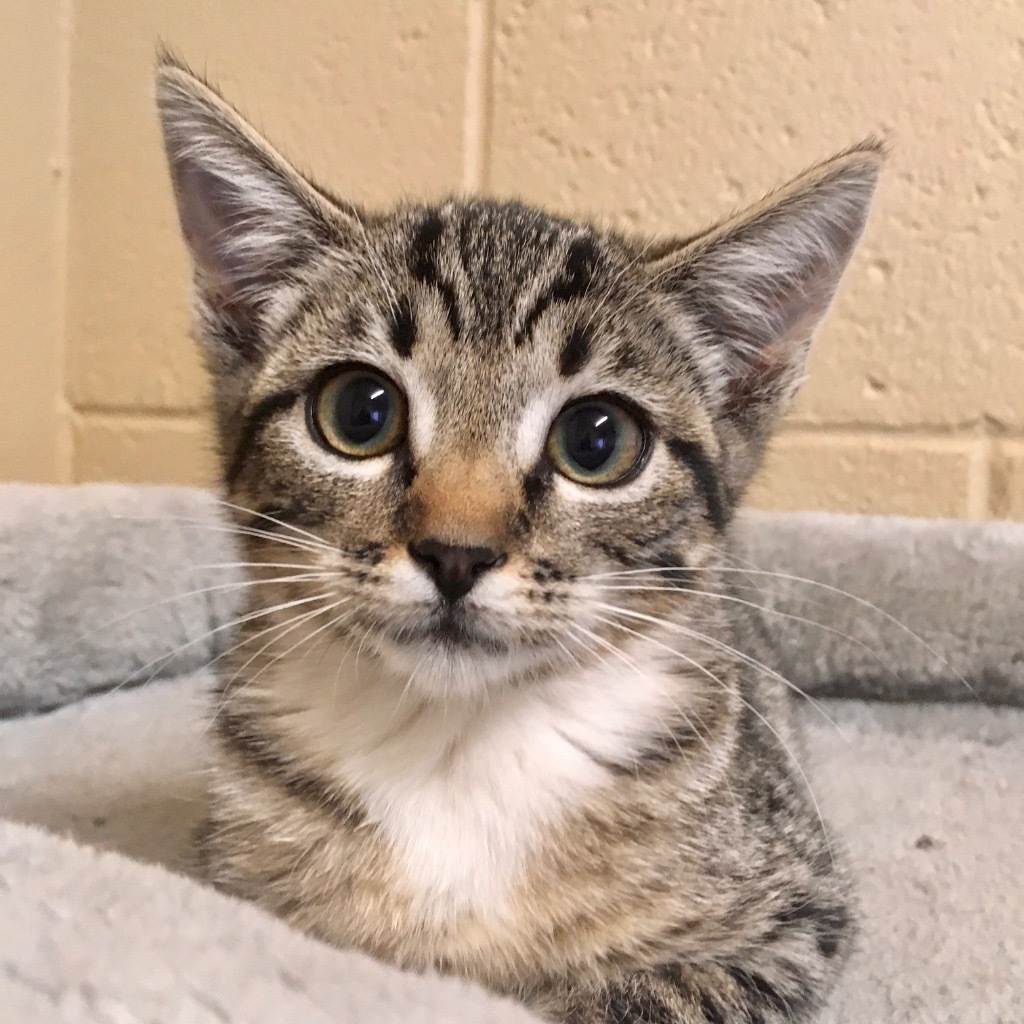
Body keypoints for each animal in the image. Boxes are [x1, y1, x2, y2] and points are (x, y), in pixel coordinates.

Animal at [157, 54, 880, 1024]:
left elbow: (635, 998)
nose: (456, 551)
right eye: (359, 413)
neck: (455, 754)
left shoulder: (795, 916)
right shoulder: (233, 893)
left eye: (597, 441)